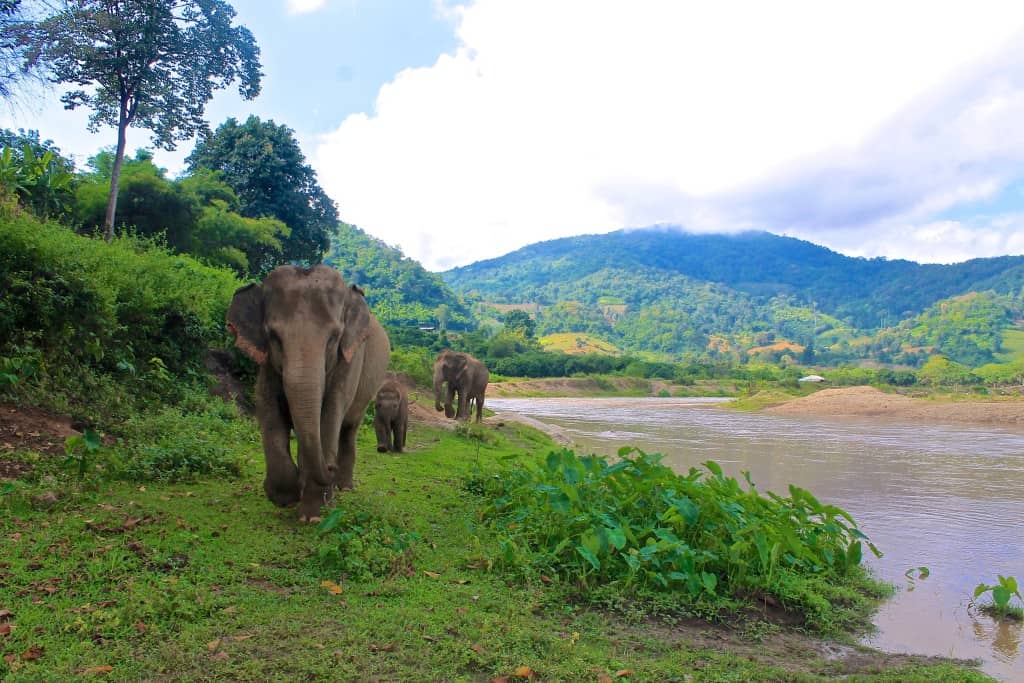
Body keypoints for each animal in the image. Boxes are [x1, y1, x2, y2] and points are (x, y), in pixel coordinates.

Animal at [226, 264, 389, 520]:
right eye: (273, 336)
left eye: (334, 338)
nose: (330, 467)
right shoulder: (267, 364)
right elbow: (266, 405)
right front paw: (286, 496)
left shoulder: (350, 359)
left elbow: (331, 411)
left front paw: (313, 515)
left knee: (348, 428)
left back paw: (343, 487)